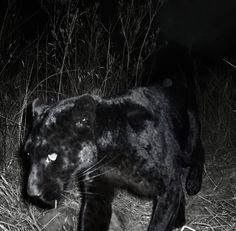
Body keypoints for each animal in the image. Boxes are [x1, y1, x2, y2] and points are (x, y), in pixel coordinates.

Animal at [24, 80, 205, 231]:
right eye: (28, 154)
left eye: (52, 156)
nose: (32, 192)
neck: (110, 156)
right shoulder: (98, 193)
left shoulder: (167, 186)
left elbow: (159, 224)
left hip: (188, 149)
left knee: (198, 155)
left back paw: (193, 185)